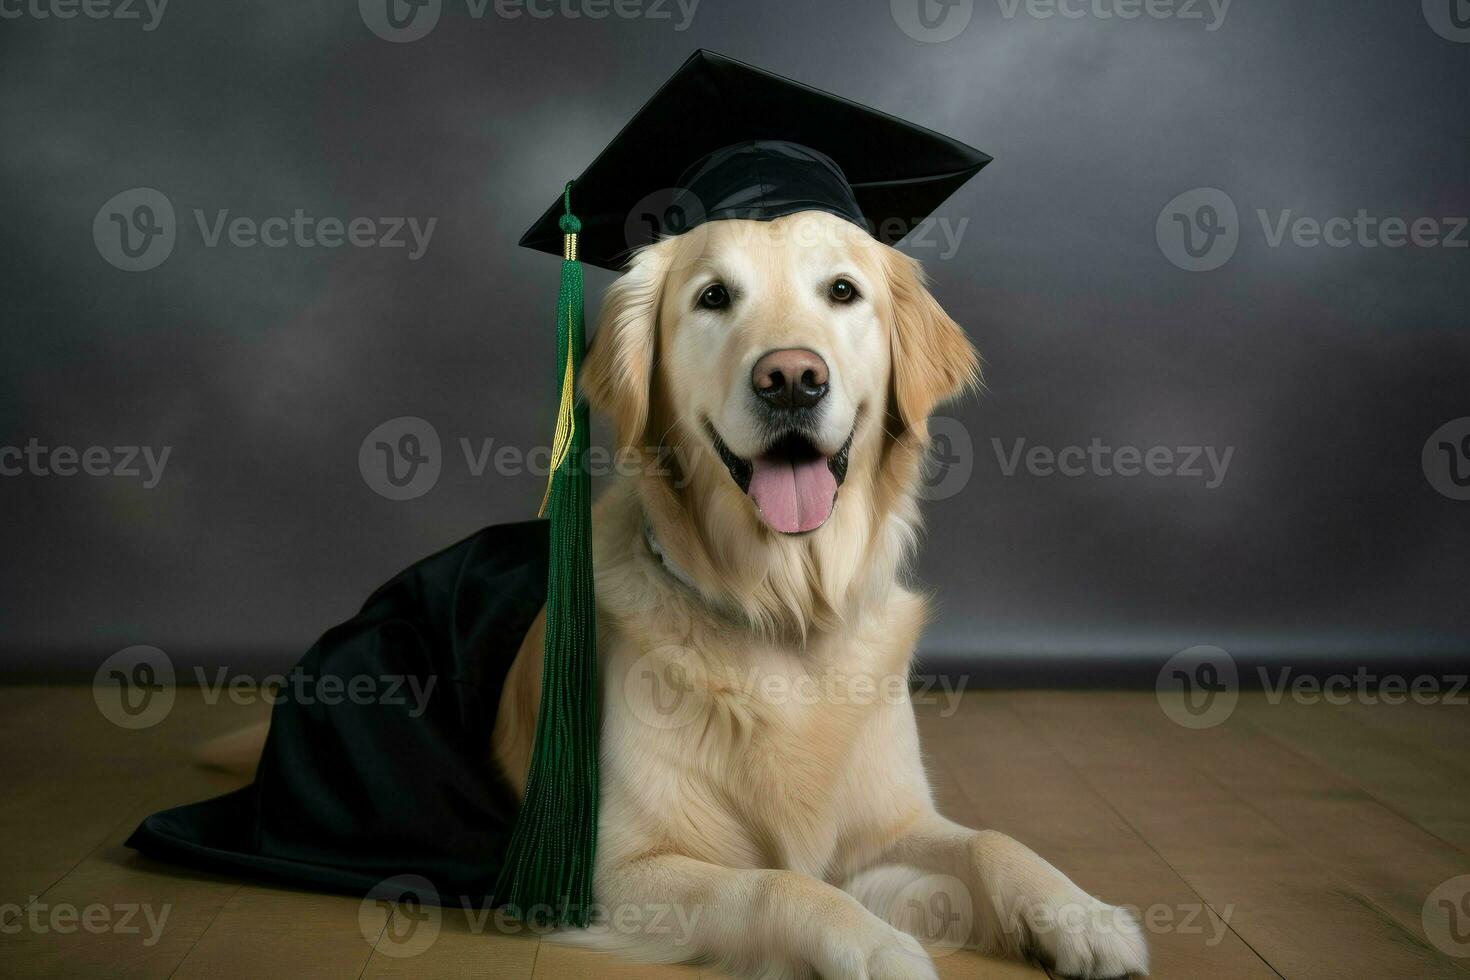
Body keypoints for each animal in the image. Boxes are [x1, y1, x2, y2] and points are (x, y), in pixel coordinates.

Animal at [488, 214, 1152, 980]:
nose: (791, 381)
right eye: (714, 296)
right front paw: (876, 945)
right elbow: (774, 884)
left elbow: (989, 839)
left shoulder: (890, 825)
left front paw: (1081, 915)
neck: (788, 608)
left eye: (842, 291)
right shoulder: (619, 873)